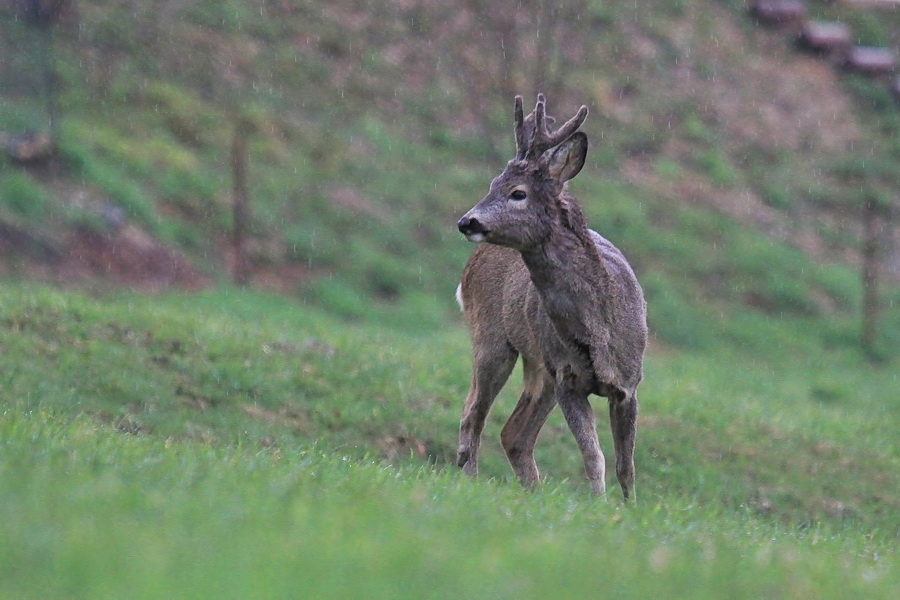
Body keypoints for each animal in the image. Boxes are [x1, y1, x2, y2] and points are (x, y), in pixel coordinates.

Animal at [458, 95, 648, 502]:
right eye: (492, 183)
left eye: (518, 192)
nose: (467, 221)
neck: (599, 328)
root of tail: (471, 264)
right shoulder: (568, 378)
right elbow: (594, 456)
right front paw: (600, 504)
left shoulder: (628, 384)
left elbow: (627, 465)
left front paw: (629, 507)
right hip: (492, 338)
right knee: (473, 415)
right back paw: (472, 481)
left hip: (539, 363)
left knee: (513, 433)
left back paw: (533, 490)